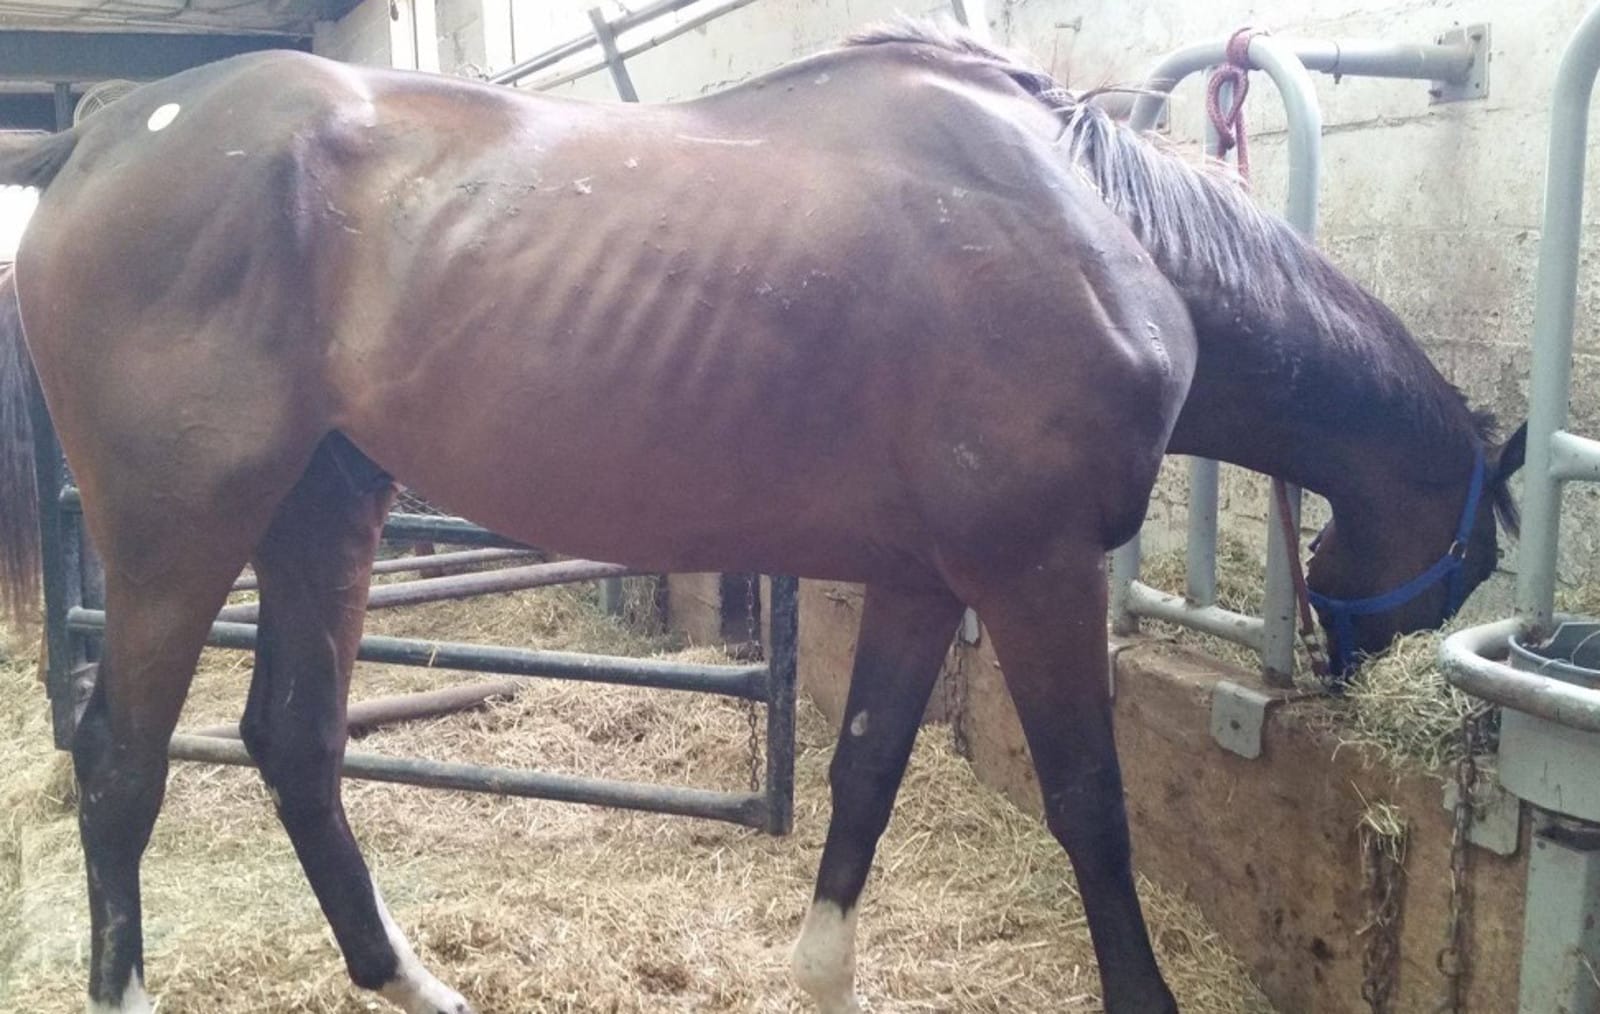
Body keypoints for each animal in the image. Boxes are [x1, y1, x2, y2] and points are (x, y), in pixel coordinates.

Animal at [0, 19, 1521, 1014]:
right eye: (1483, 550)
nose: (1356, 671)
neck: (1103, 232)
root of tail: (99, 134)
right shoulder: (1037, 569)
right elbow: (1093, 805)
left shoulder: (928, 578)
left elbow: (864, 770)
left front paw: (822, 976)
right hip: (176, 532)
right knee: (120, 756)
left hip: (324, 505)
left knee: (294, 740)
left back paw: (412, 978)